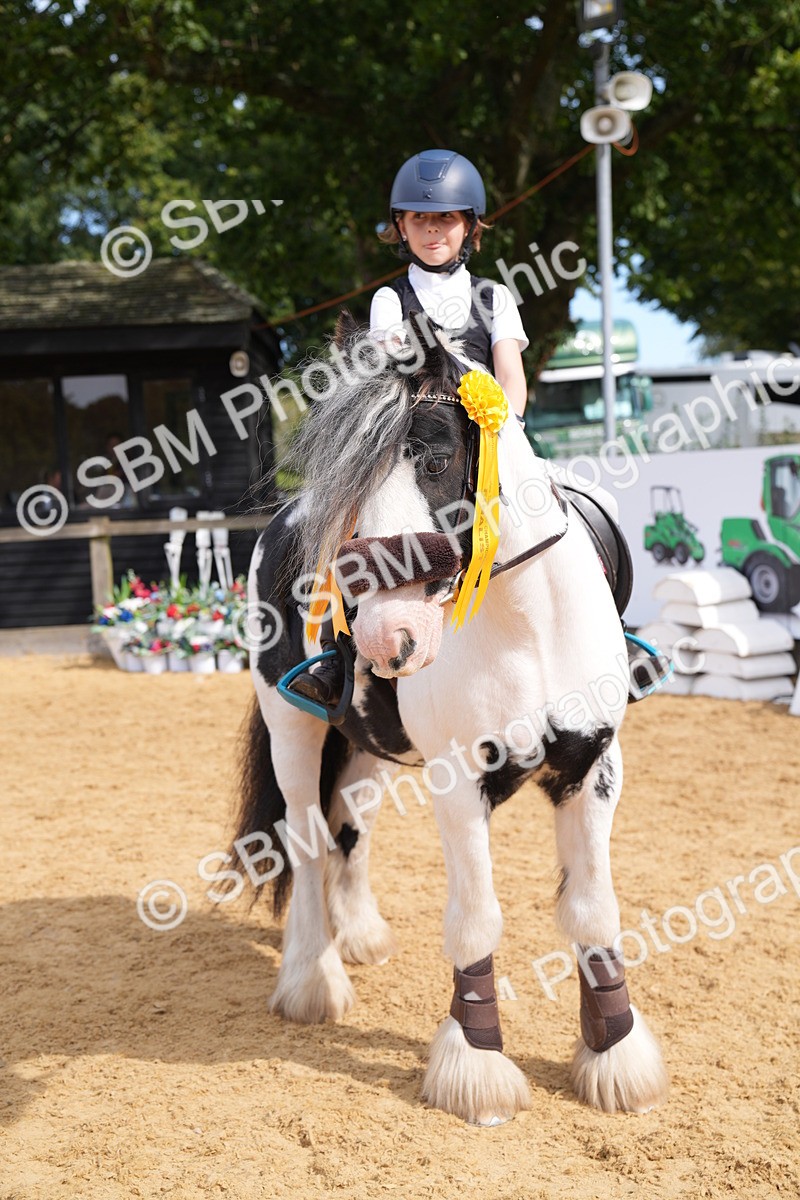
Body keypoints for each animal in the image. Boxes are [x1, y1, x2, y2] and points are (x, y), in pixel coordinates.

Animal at [232, 310, 669, 1125]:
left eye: (435, 461)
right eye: (352, 487)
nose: (384, 639)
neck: (526, 628)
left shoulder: (595, 764)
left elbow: (593, 909)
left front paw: (615, 1055)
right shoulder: (458, 782)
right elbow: (476, 919)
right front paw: (479, 1066)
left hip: (366, 746)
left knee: (351, 828)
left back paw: (359, 934)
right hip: (294, 730)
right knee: (306, 838)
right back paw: (314, 978)